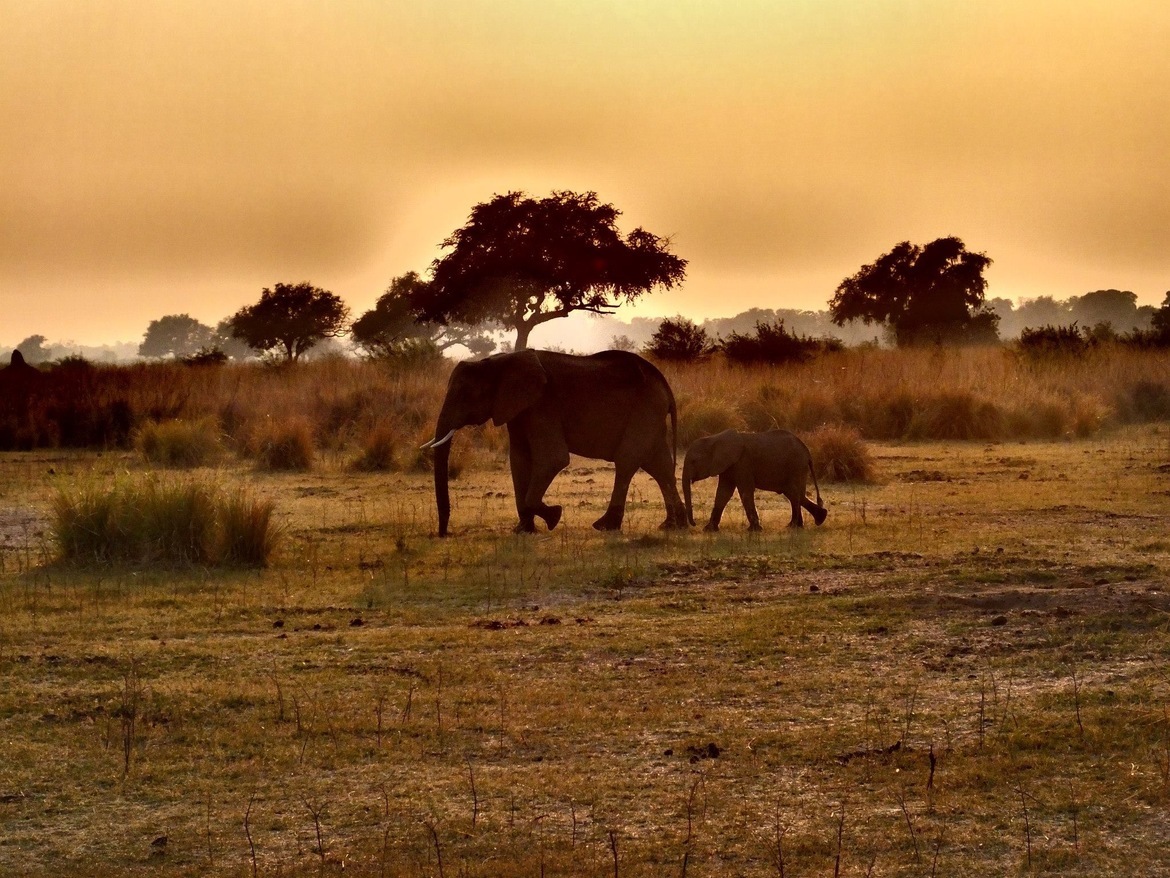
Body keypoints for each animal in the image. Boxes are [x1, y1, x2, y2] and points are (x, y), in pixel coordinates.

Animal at [423, 349, 689, 536]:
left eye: (465, 394)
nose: (444, 534)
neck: (499, 361)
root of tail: (666, 386)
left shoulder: (542, 406)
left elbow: (553, 459)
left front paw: (554, 516)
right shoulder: (518, 410)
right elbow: (519, 460)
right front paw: (523, 530)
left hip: (644, 410)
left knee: (627, 462)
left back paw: (605, 526)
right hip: (650, 414)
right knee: (659, 466)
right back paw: (673, 526)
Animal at [682, 428, 827, 531]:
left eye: (694, 461)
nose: (694, 523)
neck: (715, 438)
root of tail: (808, 453)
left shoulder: (742, 462)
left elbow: (745, 492)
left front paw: (754, 530)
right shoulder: (728, 466)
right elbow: (723, 493)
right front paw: (709, 529)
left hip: (796, 466)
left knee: (794, 493)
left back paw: (803, 523)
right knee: (795, 494)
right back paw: (808, 522)